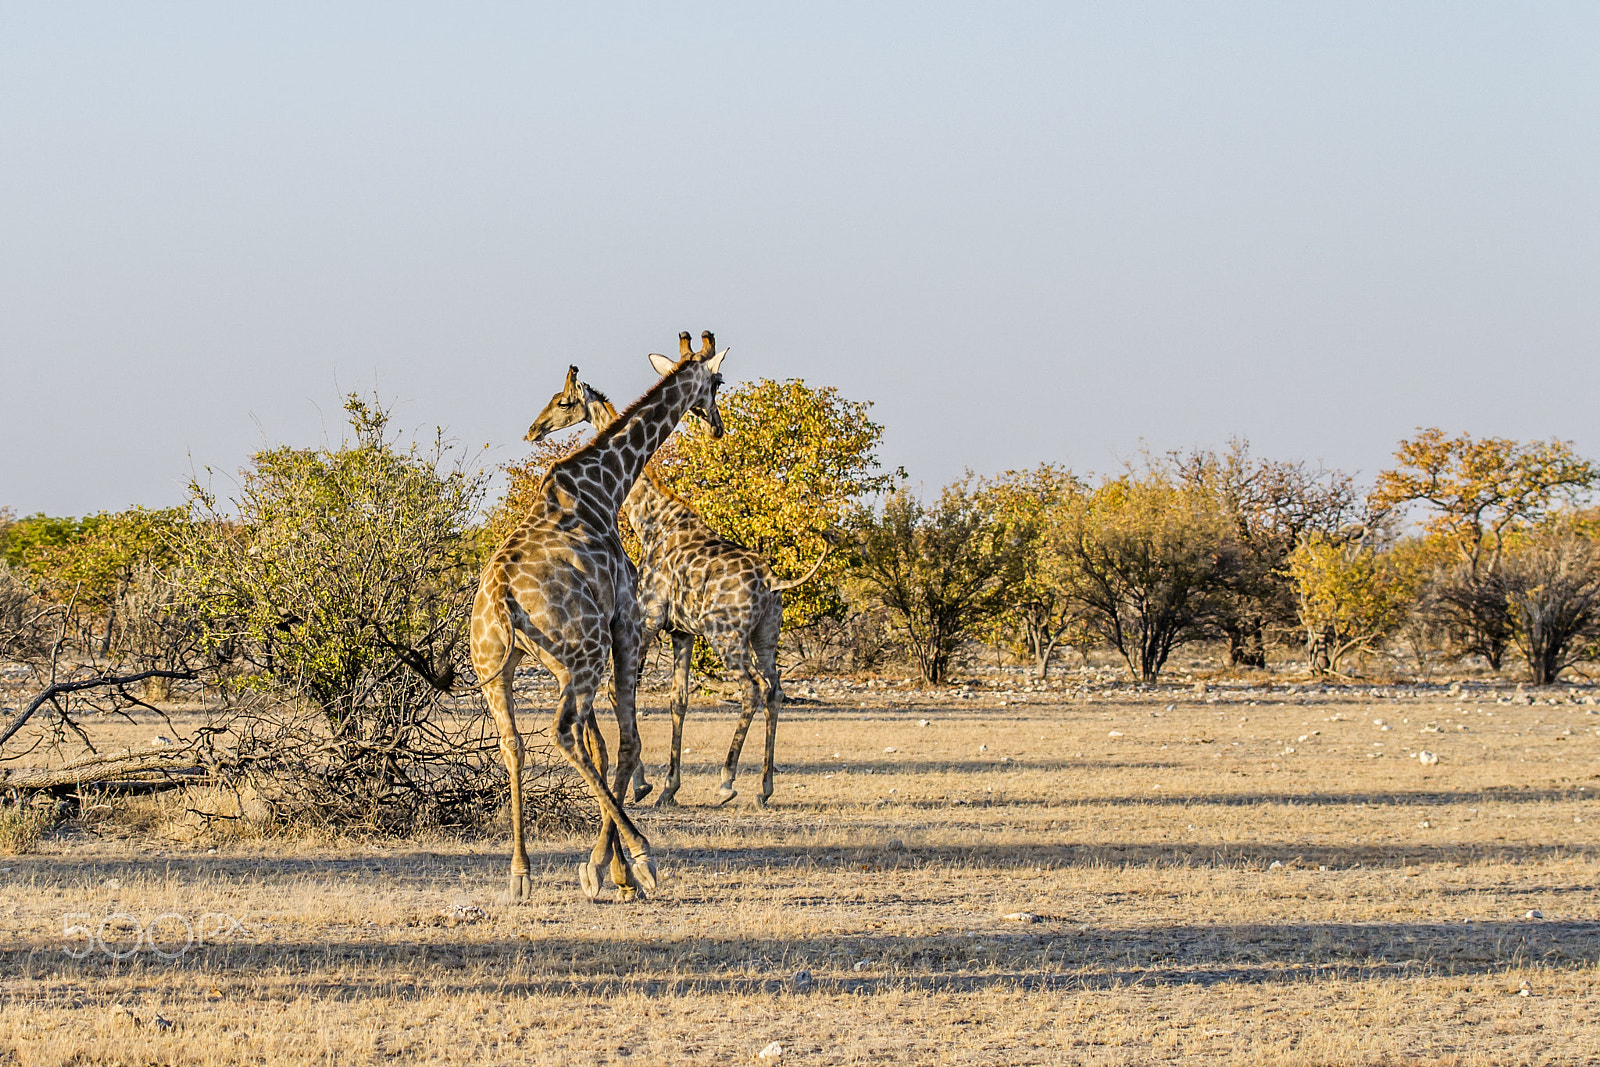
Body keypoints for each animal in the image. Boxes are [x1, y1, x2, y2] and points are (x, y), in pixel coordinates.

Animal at [471, 332, 728, 902]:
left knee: (513, 745)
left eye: (562, 400)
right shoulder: (625, 624)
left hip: (495, 668)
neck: (605, 488)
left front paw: (612, 870)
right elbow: (626, 744)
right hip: (586, 652)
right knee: (563, 733)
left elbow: (605, 747)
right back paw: (640, 852)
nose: (716, 425)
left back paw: (521, 874)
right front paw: (621, 868)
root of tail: (500, 597)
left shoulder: (569, 658)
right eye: (719, 382)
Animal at [526, 342, 835, 809]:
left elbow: (623, 691)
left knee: (751, 688)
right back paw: (763, 787)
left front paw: (642, 784)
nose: (534, 430)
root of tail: (773, 582)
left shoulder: (649, 617)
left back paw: (727, 781)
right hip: (766, 636)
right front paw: (668, 788)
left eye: (563, 402)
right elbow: (678, 699)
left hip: (727, 636)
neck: (651, 518)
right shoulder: (681, 631)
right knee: (775, 688)